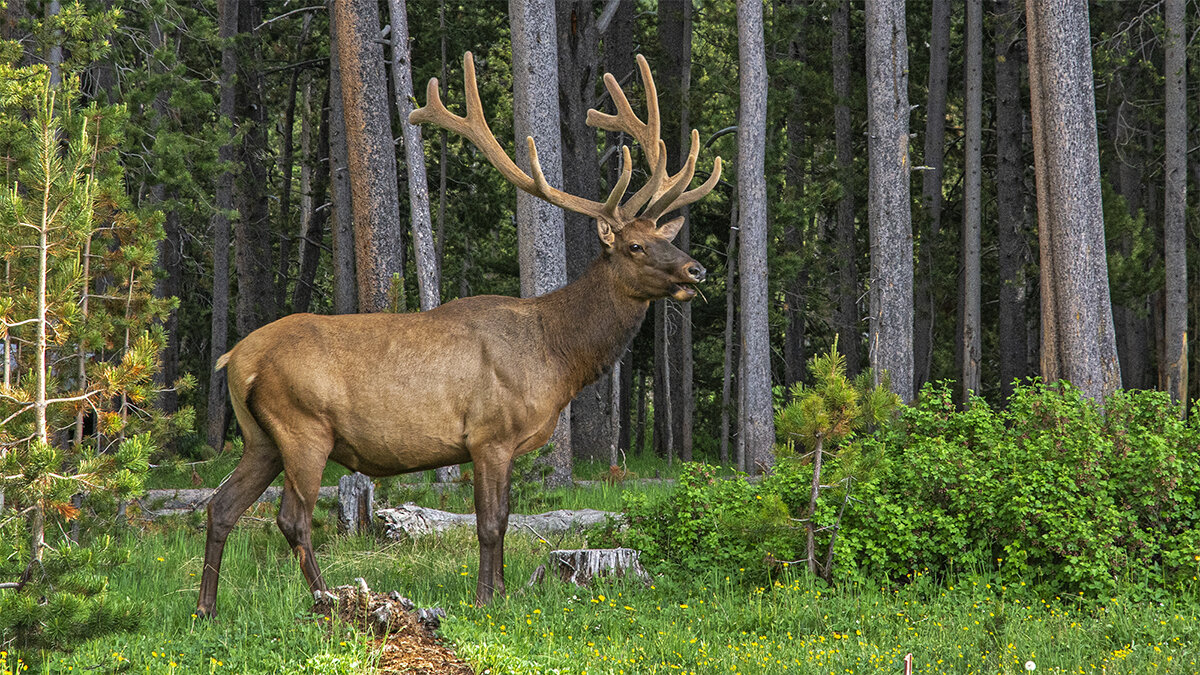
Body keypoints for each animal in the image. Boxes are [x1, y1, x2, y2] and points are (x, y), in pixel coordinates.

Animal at [196, 49, 720, 612]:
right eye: (635, 247)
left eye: (664, 236)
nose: (695, 270)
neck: (556, 357)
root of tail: (235, 360)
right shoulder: (490, 433)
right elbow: (490, 524)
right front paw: (486, 599)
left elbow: (506, 520)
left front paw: (503, 593)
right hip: (303, 427)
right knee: (292, 518)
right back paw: (327, 601)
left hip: (260, 438)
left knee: (220, 505)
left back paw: (206, 608)